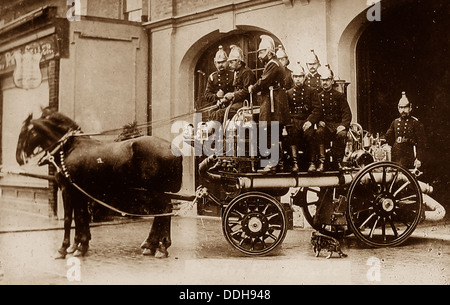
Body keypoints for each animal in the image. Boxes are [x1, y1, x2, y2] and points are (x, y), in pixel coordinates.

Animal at [16, 108, 183, 258]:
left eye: (24, 133)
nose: (18, 158)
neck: (69, 148)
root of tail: (171, 147)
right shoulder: (80, 191)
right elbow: (80, 216)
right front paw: (80, 245)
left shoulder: (67, 189)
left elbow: (70, 218)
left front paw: (64, 248)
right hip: (155, 191)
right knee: (163, 212)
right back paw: (154, 245)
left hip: (153, 190)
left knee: (164, 211)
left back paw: (160, 246)